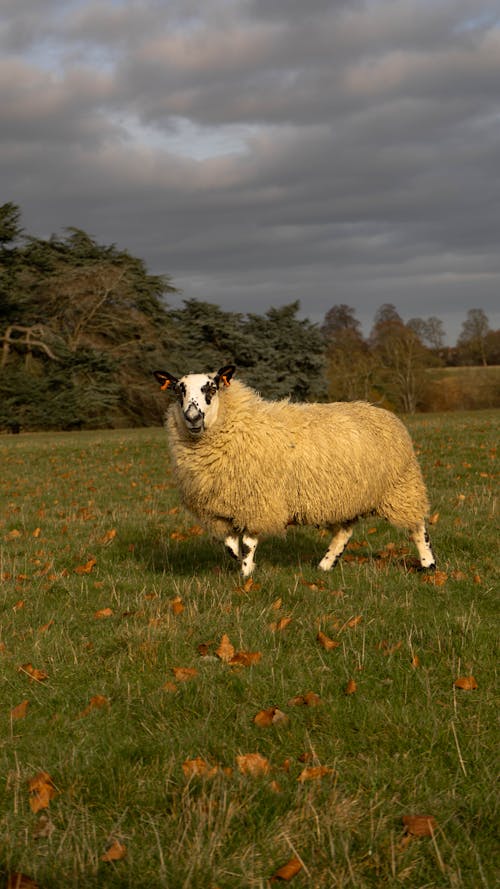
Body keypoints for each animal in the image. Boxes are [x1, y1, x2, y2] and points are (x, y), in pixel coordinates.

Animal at [153, 366, 438, 580]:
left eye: (211, 388)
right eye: (179, 390)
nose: (192, 417)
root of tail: (381, 411)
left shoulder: (260, 501)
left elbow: (248, 542)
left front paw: (246, 574)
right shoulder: (220, 509)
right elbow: (230, 543)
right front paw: (241, 562)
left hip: (401, 488)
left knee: (417, 526)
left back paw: (428, 564)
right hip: (345, 497)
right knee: (345, 532)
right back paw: (325, 564)